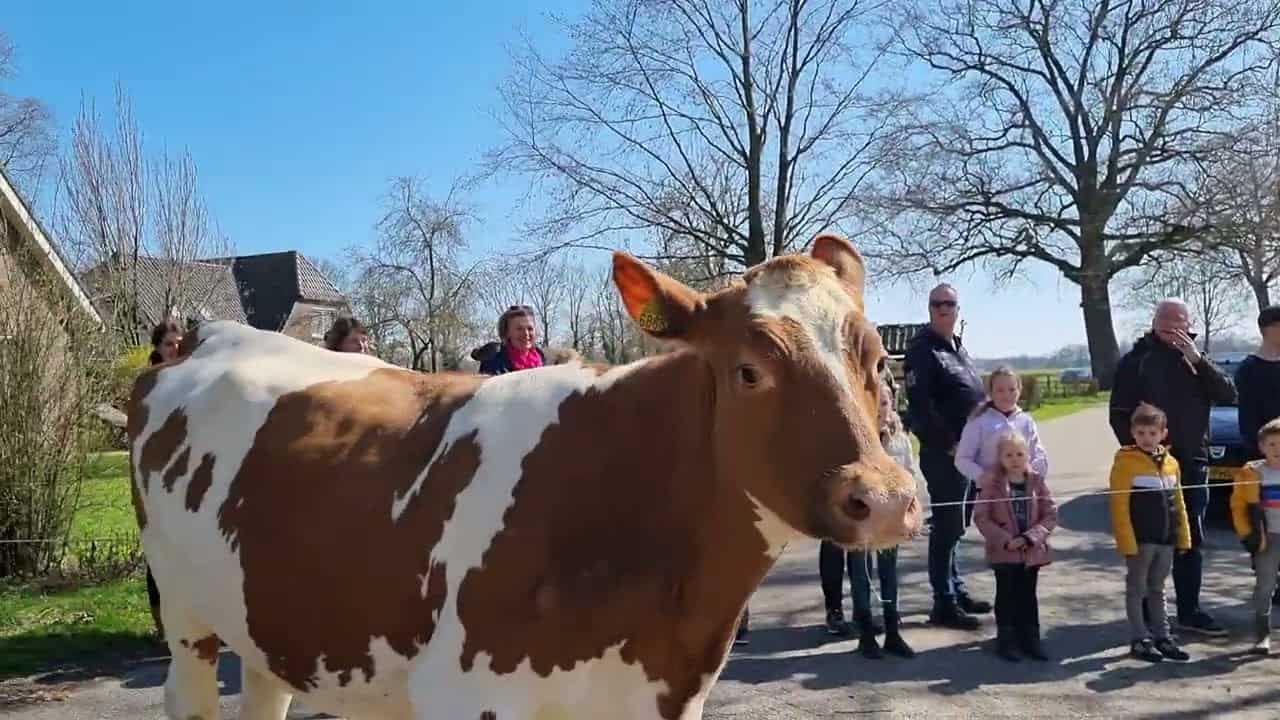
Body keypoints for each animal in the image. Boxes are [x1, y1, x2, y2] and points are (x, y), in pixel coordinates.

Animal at [127, 232, 920, 720]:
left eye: (878, 360)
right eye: (748, 371)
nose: (883, 499)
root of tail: (207, 334)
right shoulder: (462, 695)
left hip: (265, 617)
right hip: (187, 616)